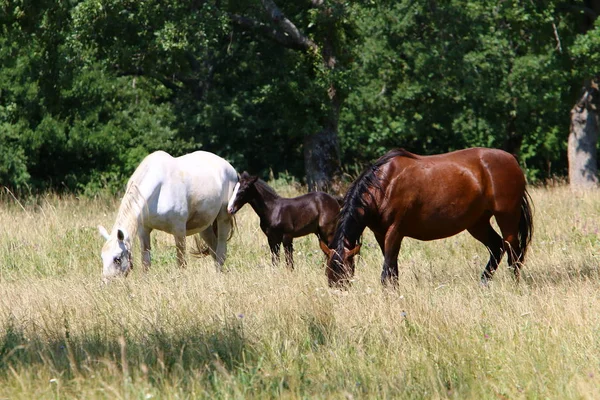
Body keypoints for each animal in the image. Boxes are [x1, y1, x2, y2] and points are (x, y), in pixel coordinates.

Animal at [97, 151, 238, 282]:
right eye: (103, 257)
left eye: (117, 259)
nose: (106, 282)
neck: (159, 190)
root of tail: (229, 167)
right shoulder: (144, 230)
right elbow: (146, 262)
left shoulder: (179, 230)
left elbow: (181, 262)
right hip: (204, 226)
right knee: (214, 249)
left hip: (223, 217)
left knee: (221, 251)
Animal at [318, 147, 536, 288]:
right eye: (328, 272)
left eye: (344, 272)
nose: (338, 292)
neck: (384, 184)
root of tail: (512, 160)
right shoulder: (381, 234)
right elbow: (392, 269)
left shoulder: (395, 231)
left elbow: (387, 269)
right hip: (477, 222)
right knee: (497, 247)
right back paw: (483, 283)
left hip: (507, 215)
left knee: (513, 250)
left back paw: (514, 284)